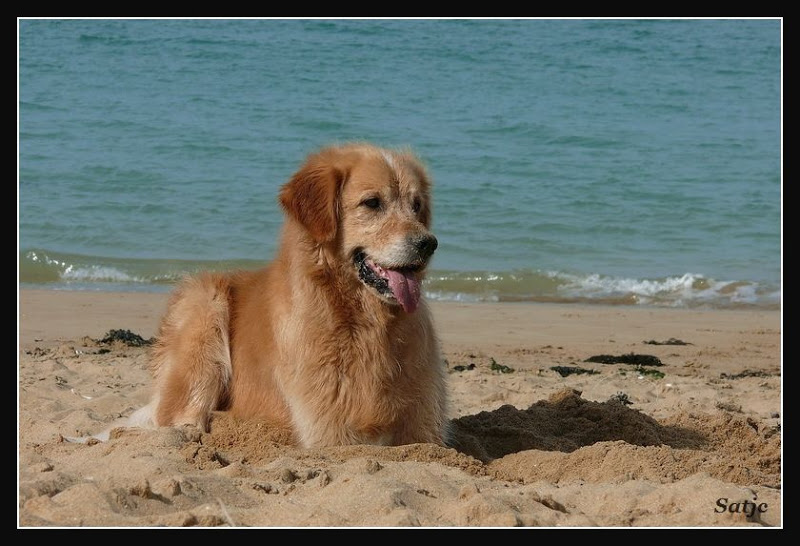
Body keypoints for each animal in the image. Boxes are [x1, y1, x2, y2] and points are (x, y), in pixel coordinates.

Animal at [145, 142, 446, 444]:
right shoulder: (328, 430)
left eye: (417, 205)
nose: (428, 244)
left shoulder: (425, 428)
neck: (367, 323)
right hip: (205, 305)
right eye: (372, 202)